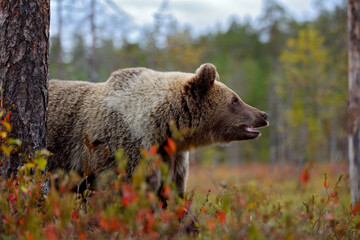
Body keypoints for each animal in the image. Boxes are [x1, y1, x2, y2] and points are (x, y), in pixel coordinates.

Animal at [46, 63, 268, 197]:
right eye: (235, 100)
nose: (263, 115)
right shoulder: (122, 149)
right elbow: (117, 190)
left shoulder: (172, 157)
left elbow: (172, 193)